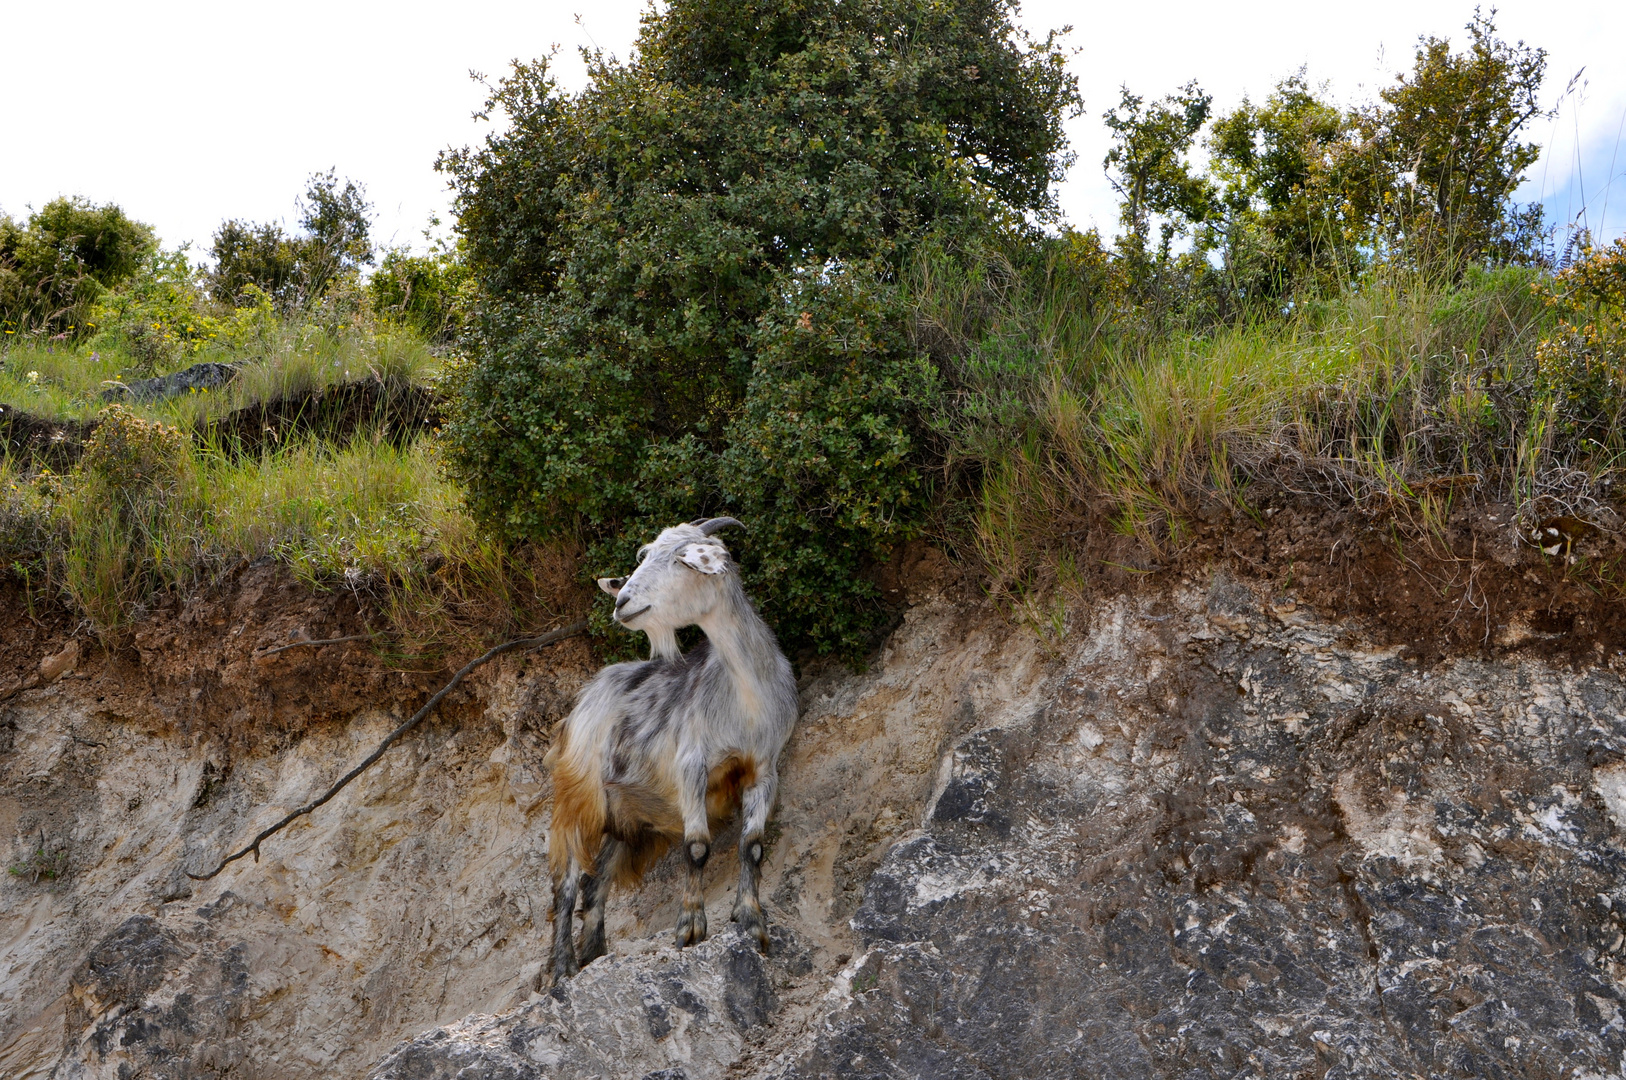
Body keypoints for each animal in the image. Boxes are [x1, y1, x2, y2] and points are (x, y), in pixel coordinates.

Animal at [543, 517, 796, 988]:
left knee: (595, 882)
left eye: (680, 560)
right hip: (578, 799)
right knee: (566, 885)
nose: (622, 601)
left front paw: (752, 923)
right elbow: (696, 848)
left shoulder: (764, 769)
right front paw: (690, 927)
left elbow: (752, 847)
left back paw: (592, 952)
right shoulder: (691, 766)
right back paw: (563, 969)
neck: (746, 697)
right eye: (644, 558)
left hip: (626, 818)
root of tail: (583, 700)